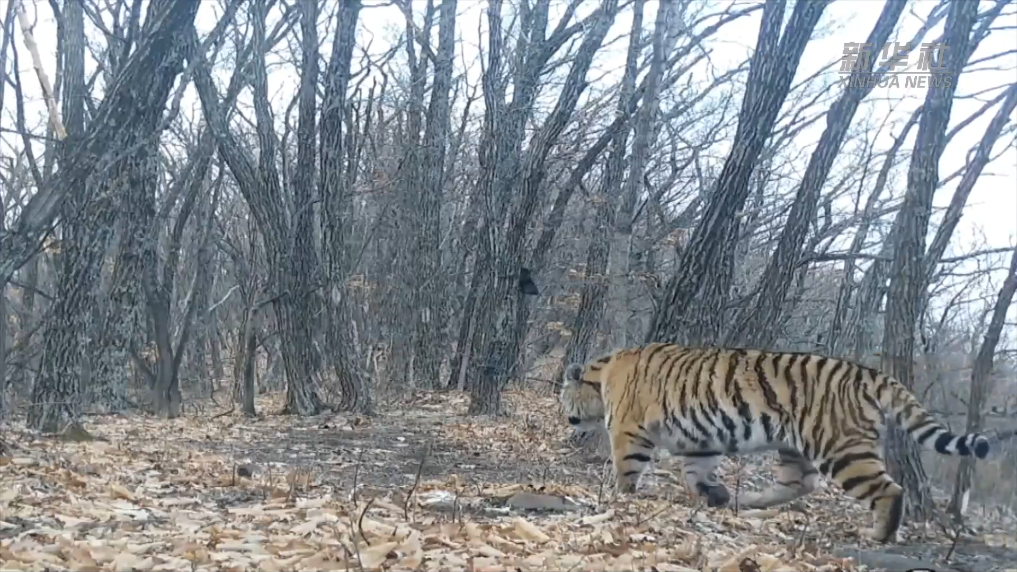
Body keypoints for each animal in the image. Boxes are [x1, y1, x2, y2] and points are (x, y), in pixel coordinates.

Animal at [560, 342, 1002, 543]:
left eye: (564, 397)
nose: (565, 416)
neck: (603, 375)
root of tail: (872, 374)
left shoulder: (629, 430)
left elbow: (626, 469)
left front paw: (620, 499)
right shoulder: (700, 441)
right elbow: (696, 473)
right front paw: (711, 496)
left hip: (840, 450)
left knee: (889, 490)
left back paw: (877, 536)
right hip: (797, 448)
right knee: (798, 484)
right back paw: (744, 501)